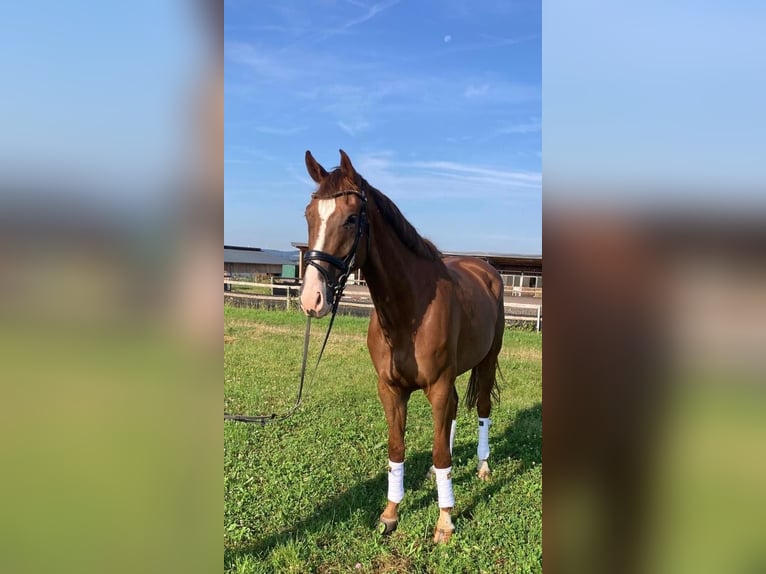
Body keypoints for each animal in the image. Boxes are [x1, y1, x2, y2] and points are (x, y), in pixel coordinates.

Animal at [302, 148, 510, 544]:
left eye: (351, 219)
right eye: (309, 215)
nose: (312, 299)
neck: (409, 312)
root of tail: (486, 270)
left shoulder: (438, 385)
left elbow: (442, 452)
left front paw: (445, 521)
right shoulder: (391, 390)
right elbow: (397, 449)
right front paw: (390, 513)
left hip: (487, 362)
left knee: (482, 409)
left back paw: (483, 466)